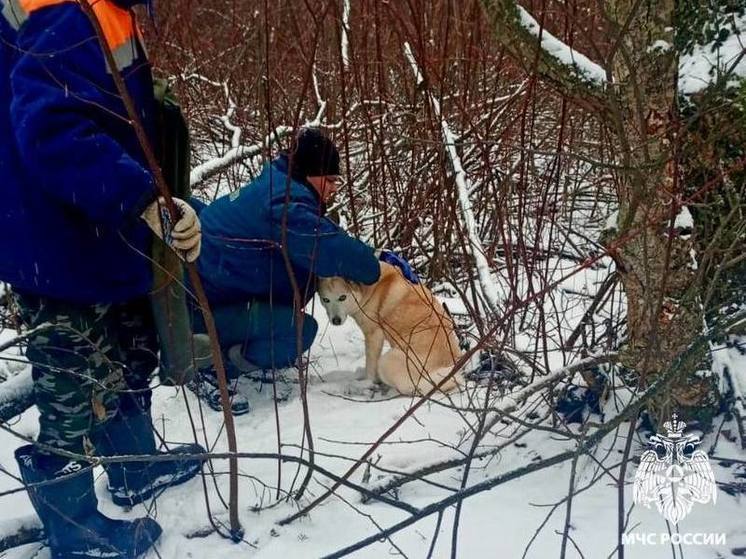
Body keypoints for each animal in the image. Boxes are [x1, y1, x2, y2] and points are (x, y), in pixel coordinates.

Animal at [318, 264, 462, 398]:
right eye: (326, 300)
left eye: (342, 297)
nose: (336, 320)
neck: (369, 288)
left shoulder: (373, 335)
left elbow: (370, 367)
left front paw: (367, 382)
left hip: (385, 362)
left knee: (410, 388)